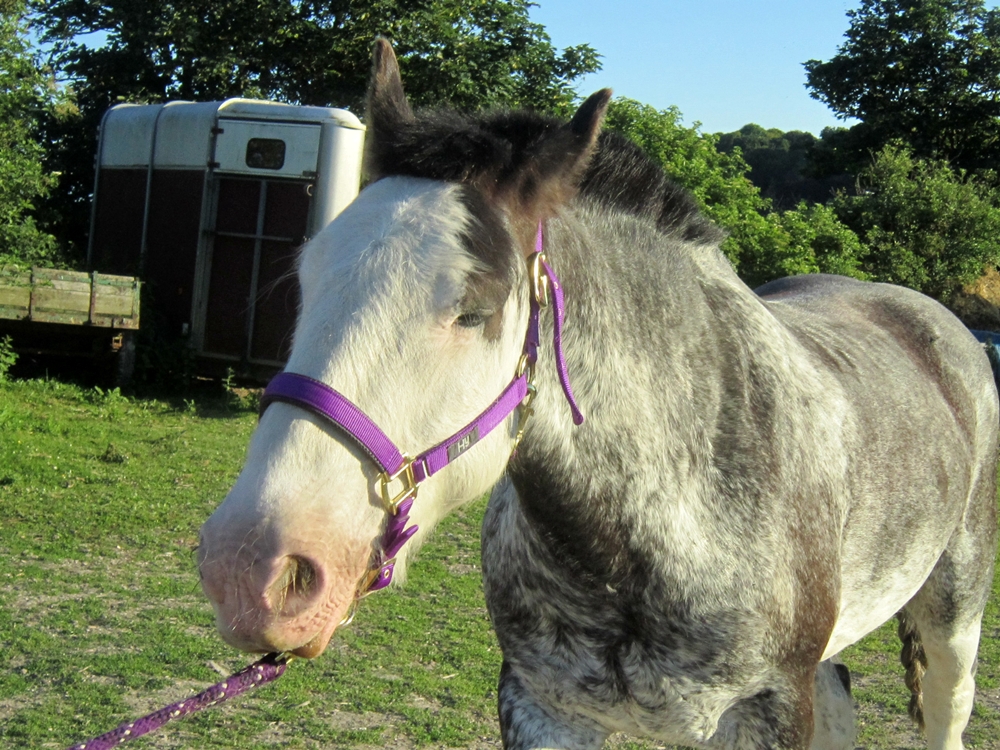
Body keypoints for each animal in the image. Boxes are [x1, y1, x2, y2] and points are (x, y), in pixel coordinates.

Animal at [198, 40, 998, 749]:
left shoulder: (768, 712)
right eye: (305, 275)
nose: (251, 569)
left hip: (953, 619)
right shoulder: (543, 708)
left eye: (474, 309)